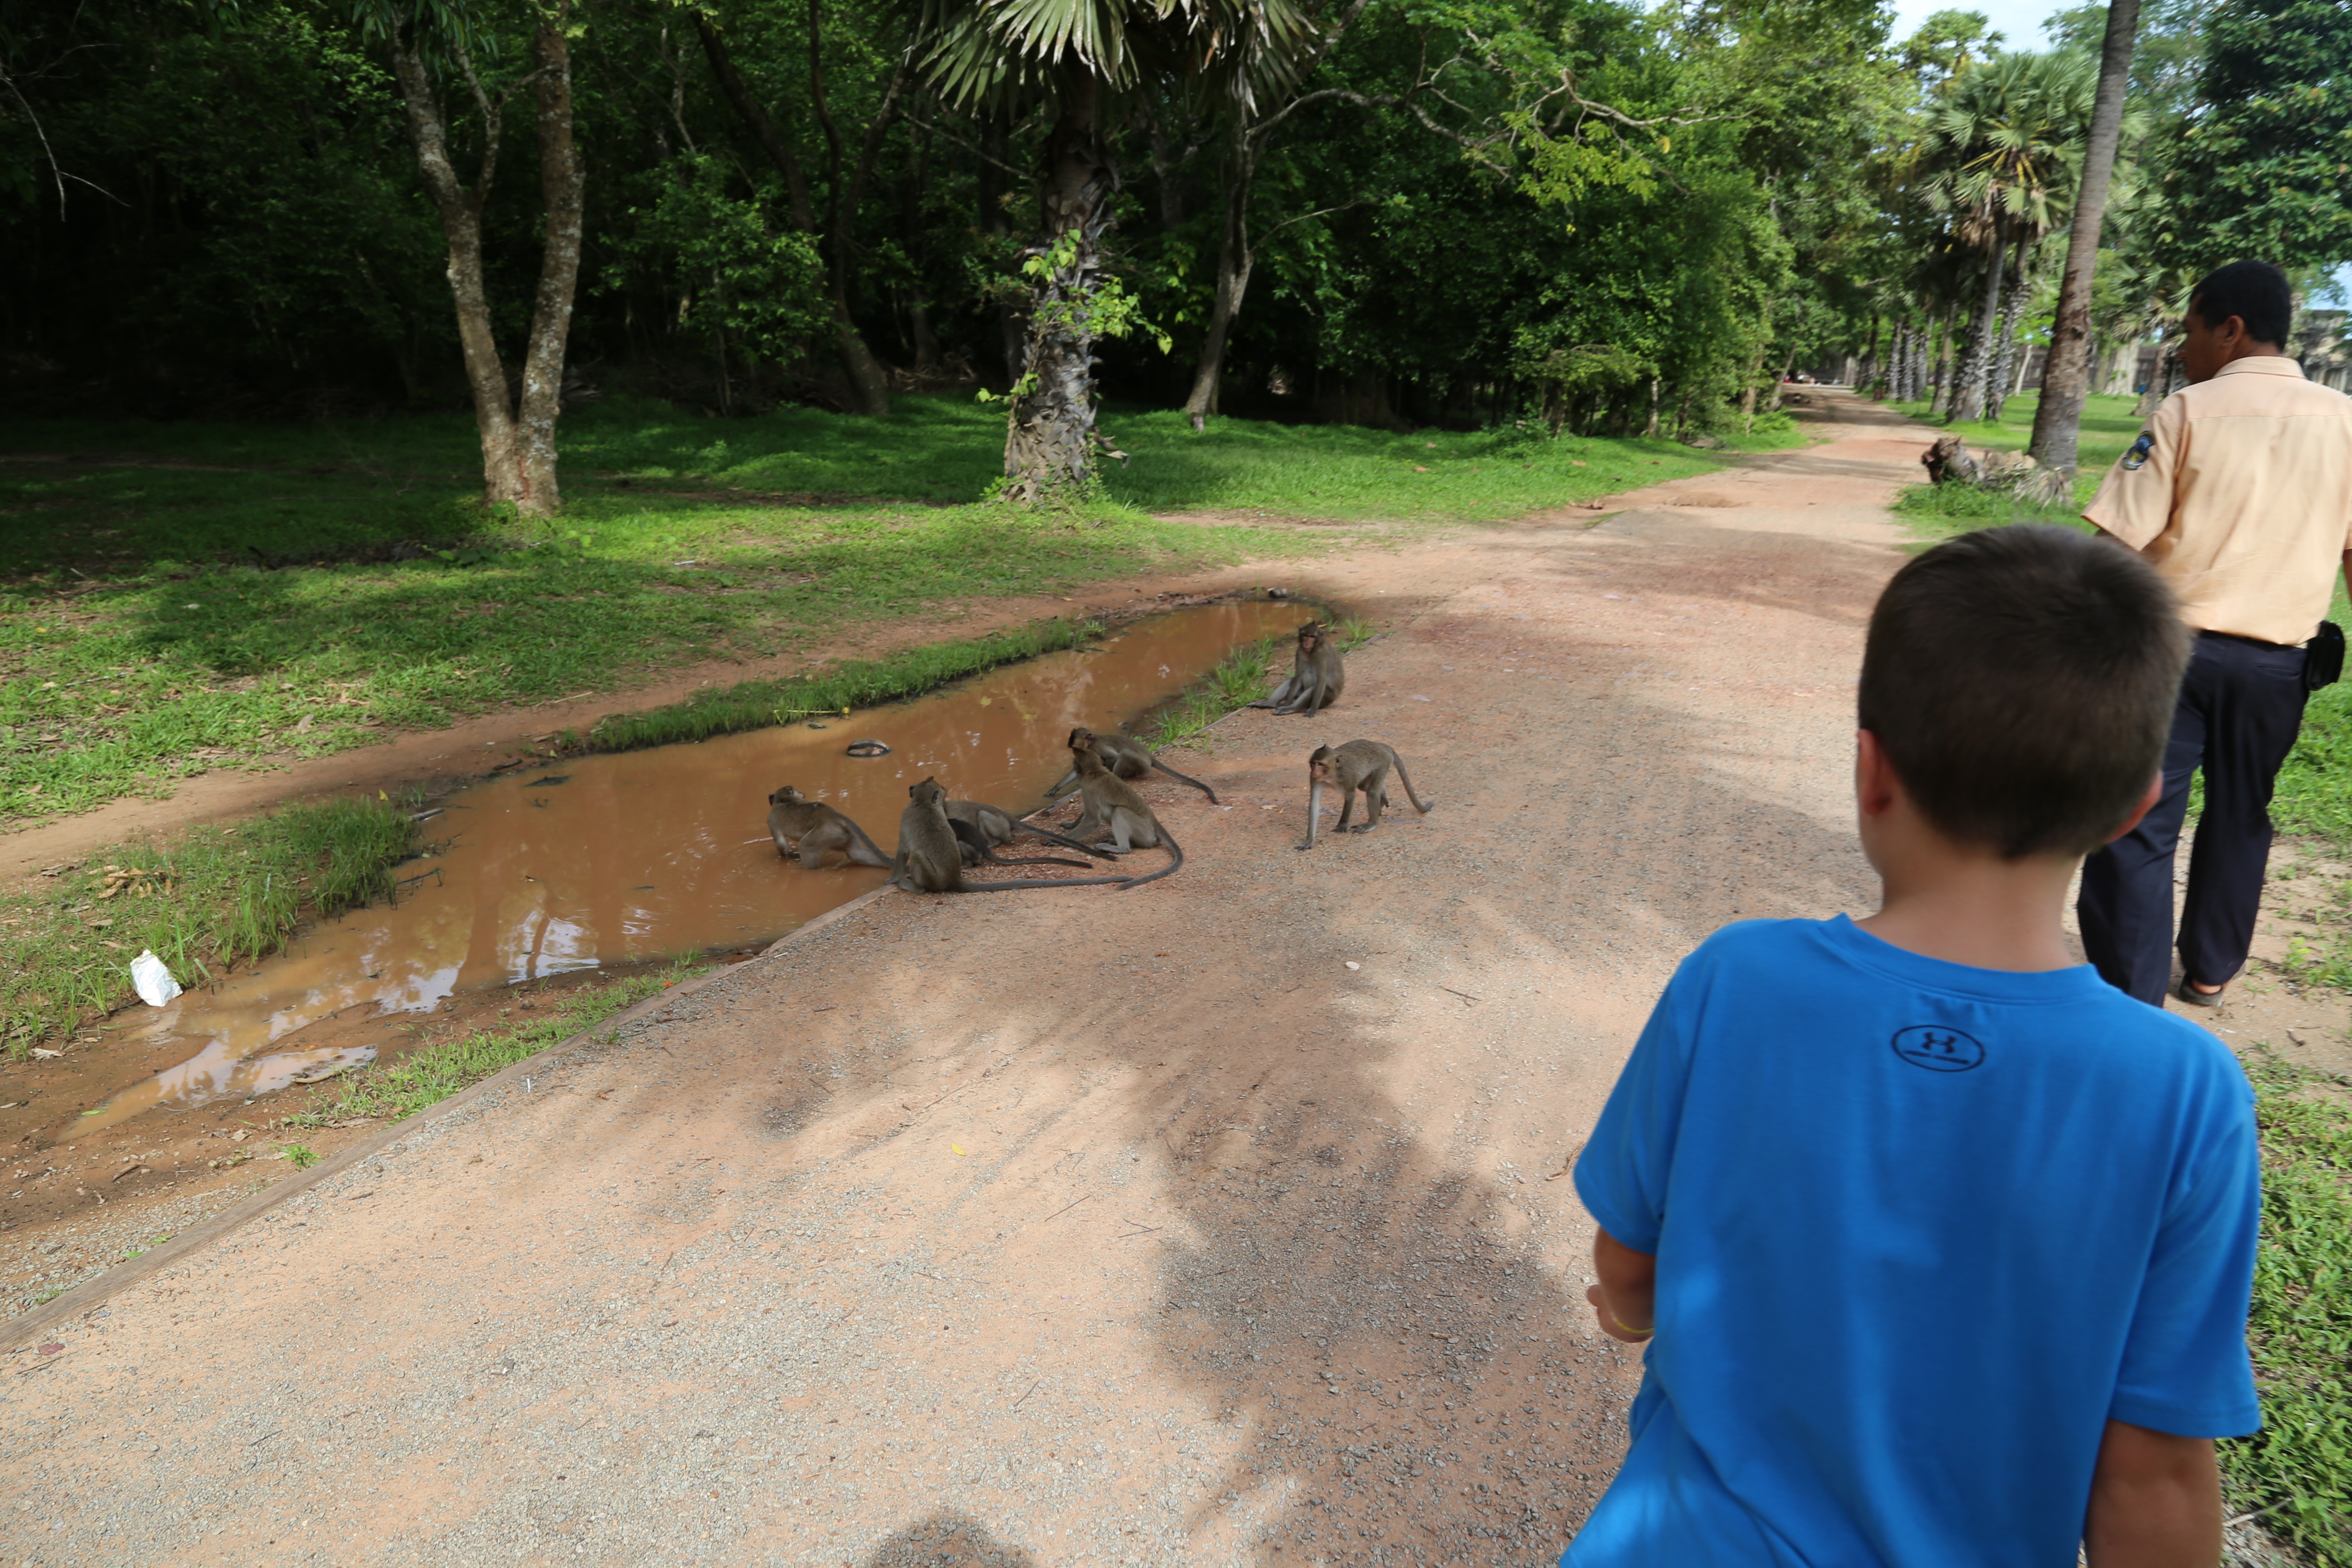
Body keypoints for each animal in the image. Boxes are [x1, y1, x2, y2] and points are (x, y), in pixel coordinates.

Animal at [766, 785, 894, 870]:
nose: (770, 796)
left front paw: (787, 856)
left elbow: (781, 844)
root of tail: (836, 816)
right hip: (843, 835)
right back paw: (890, 863)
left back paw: (811, 871)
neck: (785, 801)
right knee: (856, 855)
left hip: (826, 833)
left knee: (805, 846)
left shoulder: (771, 819)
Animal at [889, 775, 1129, 893]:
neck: (928, 805)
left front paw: (893, 877)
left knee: (985, 820)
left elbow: (904, 849)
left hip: (999, 826)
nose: (910, 788)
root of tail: (1007, 816)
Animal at [1054, 729, 1223, 808]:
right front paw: (1055, 789)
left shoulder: (1097, 748)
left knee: (1125, 754)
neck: (1092, 743)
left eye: (1075, 748)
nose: (1073, 753)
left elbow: (1113, 757)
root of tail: (1149, 757)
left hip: (1142, 766)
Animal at [1251, 620, 1345, 719]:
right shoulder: (1300, 652)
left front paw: (1313, 710)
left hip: (1327, 699)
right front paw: (1287, 703)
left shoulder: (1321, 654)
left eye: (1312, 637)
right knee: (1290, 681)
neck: (1312, 650)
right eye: (1305, 635)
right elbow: (1299, 676)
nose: (1307, 643)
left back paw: (1293, 708)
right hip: (1300, 693)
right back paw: (1270, 704)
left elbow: (1321, 680)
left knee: (1314, 688)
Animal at [1298, 743, 1421, 851]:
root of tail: (1381, 745)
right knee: (1364, 786)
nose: (1314, 772)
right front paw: (1309, 841)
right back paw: (1383, 796)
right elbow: (1314, 805)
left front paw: (1343, 825)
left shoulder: (1348, 776)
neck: (1332, 774)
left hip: (1384, 762)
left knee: (1372, 792)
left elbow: (1351, 796)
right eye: (1313, 763)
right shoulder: (1314, 779)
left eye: (1320, 764)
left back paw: (1372, 823)